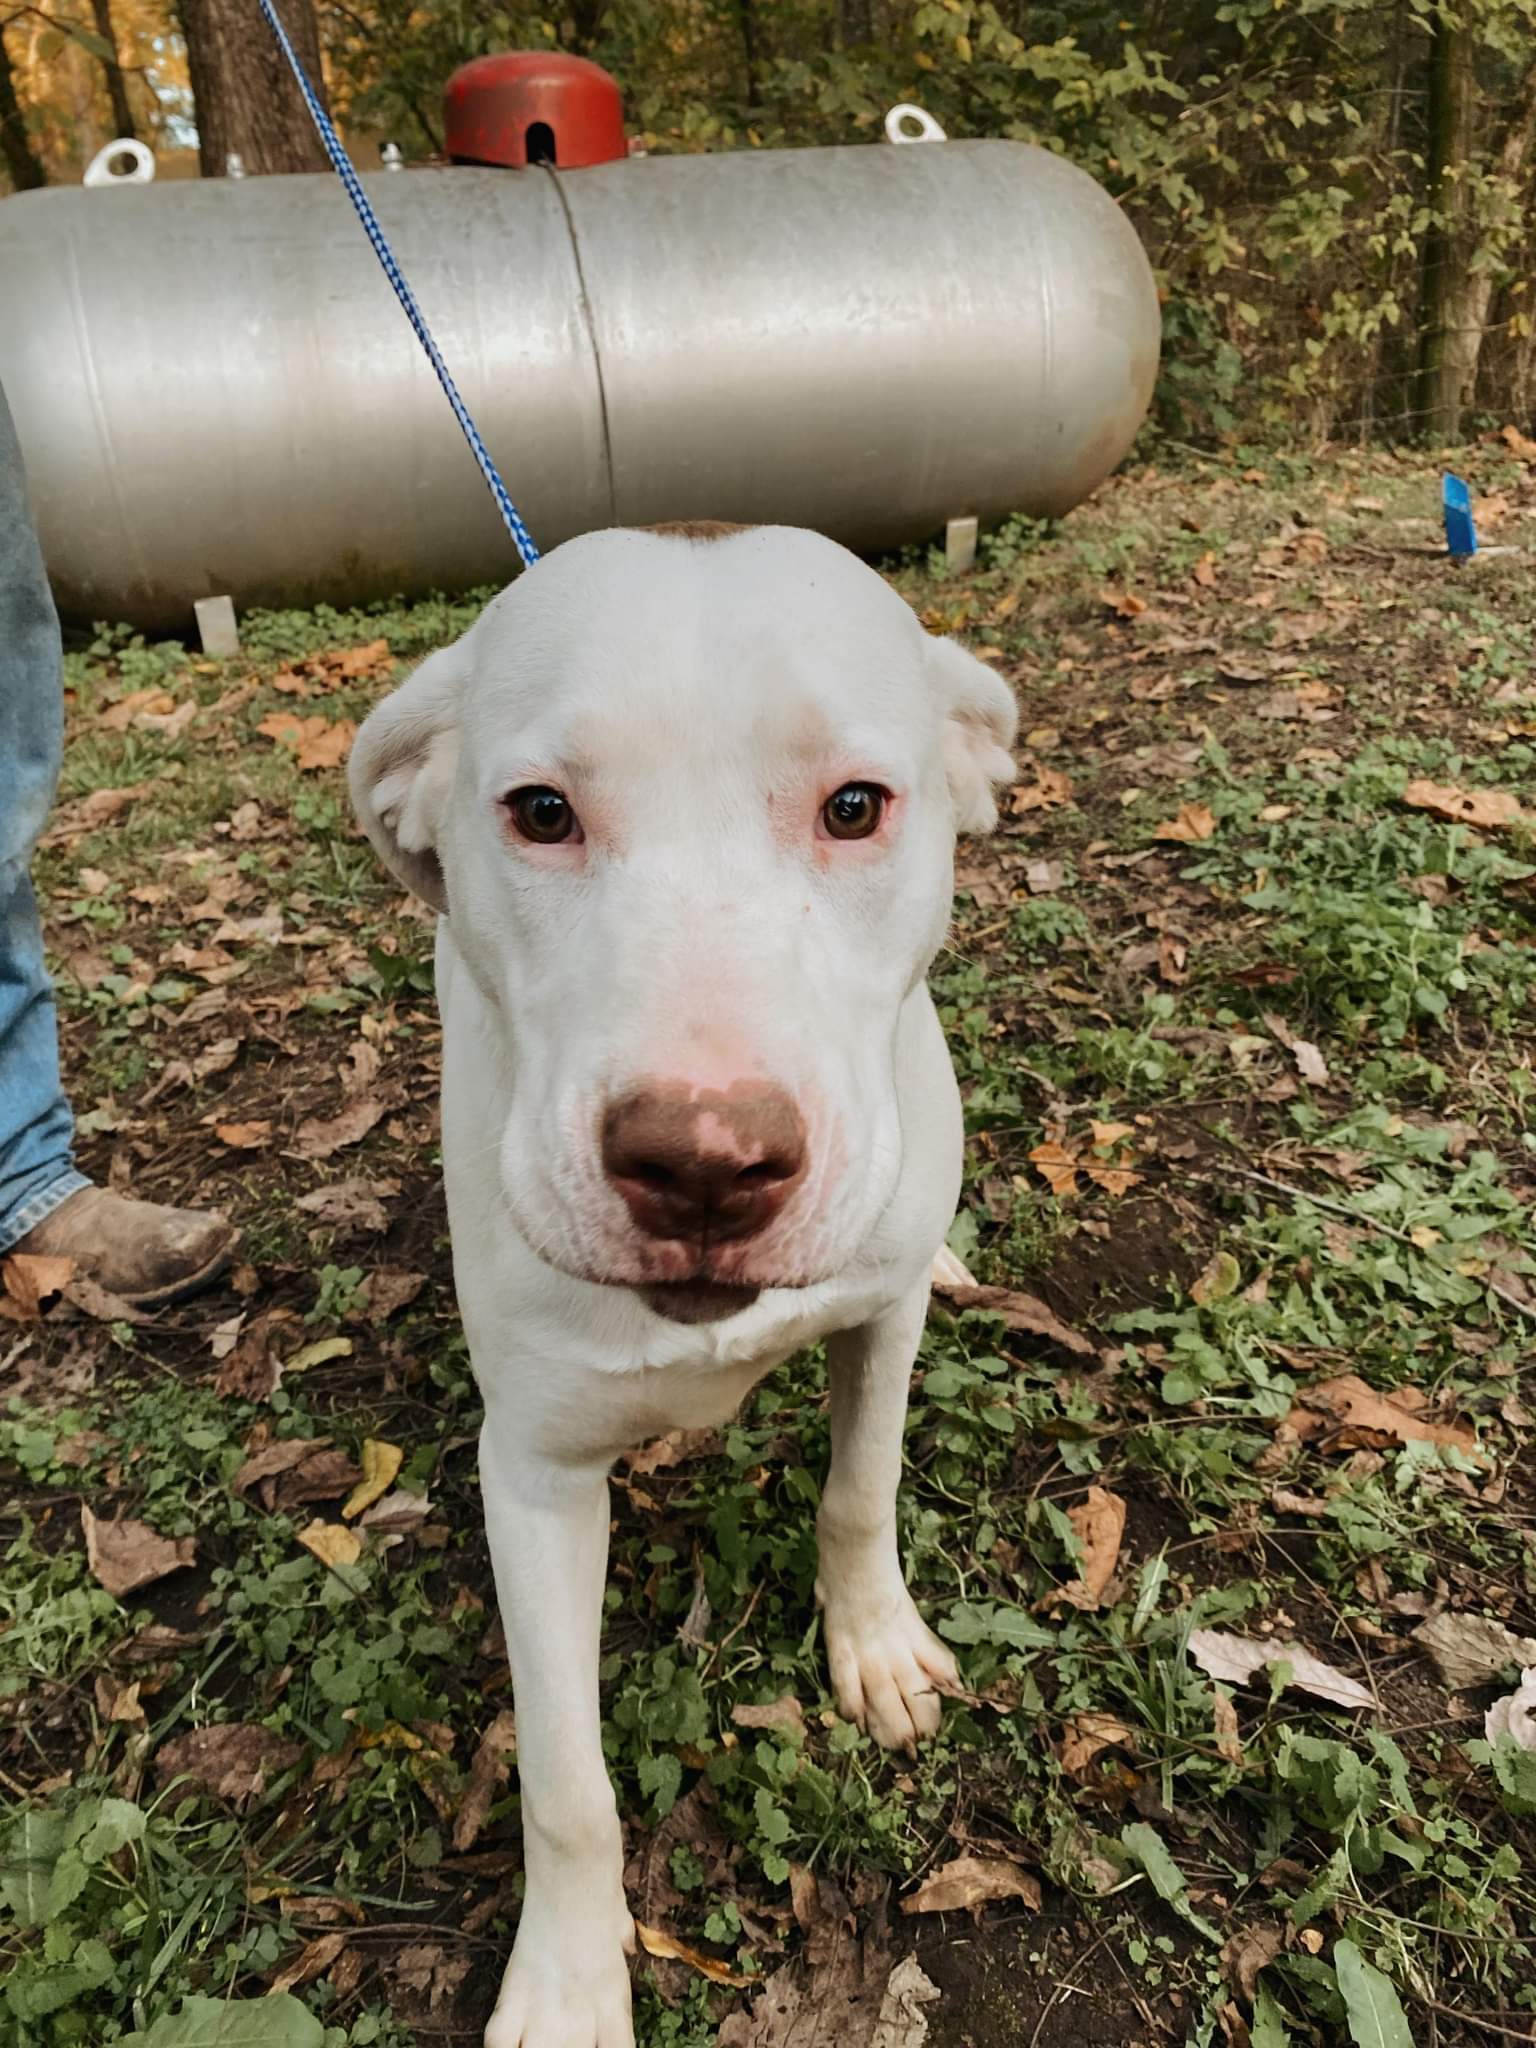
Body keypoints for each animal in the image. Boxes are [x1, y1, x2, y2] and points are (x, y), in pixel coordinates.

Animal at [352, 524, 1024, 2048]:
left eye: (855, 805)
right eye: (541, 812)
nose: (707, 1165)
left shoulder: (877, 1320)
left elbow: (859, 1490)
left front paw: (874, 1643)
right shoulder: (533, 1473)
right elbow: (566, 1782)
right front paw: (566, 1975)